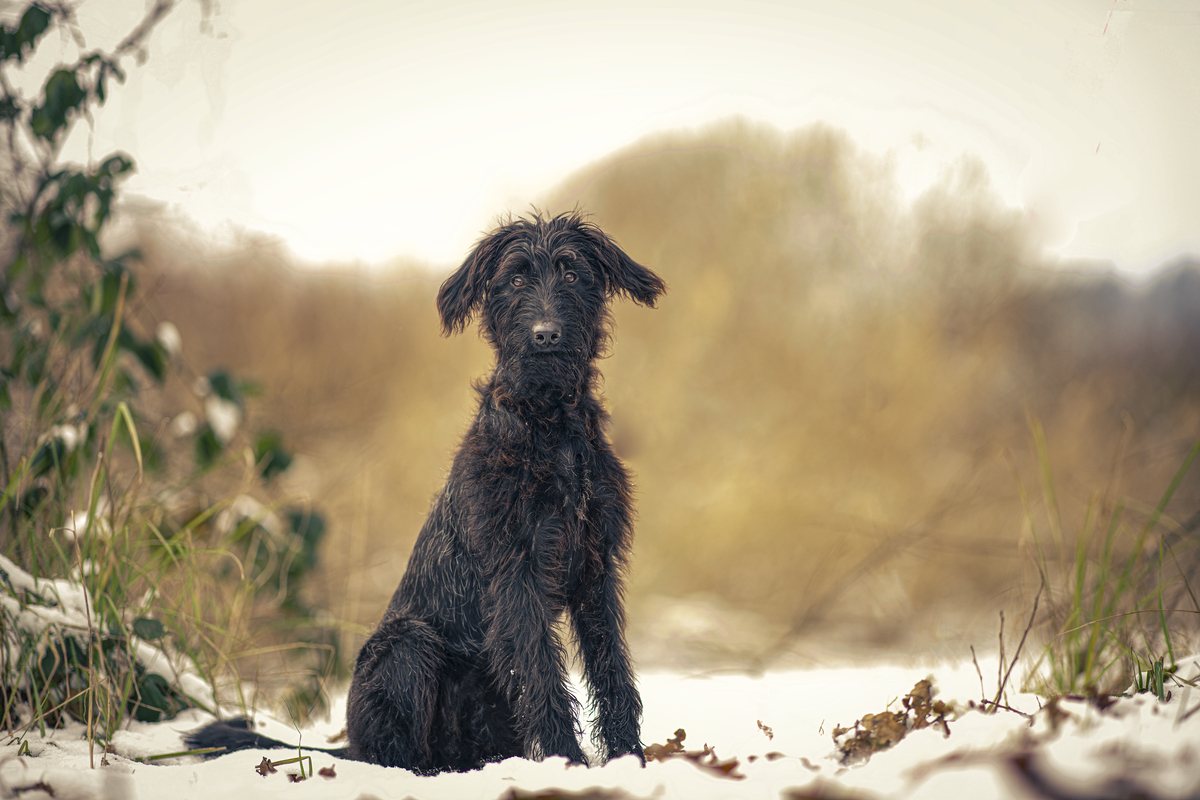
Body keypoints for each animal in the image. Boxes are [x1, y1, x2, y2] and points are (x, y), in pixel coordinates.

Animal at [187, 209, 667, 772]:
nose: (546, 335)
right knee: (390, 751)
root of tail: (348, 743)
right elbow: (541, 675)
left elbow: (612, 671)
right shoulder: (517, 572)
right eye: (516, 280)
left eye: (571, 274)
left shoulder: (596, 568)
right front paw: (567, 762)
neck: (547, 425)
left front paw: (630, 758)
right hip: (407, 644)